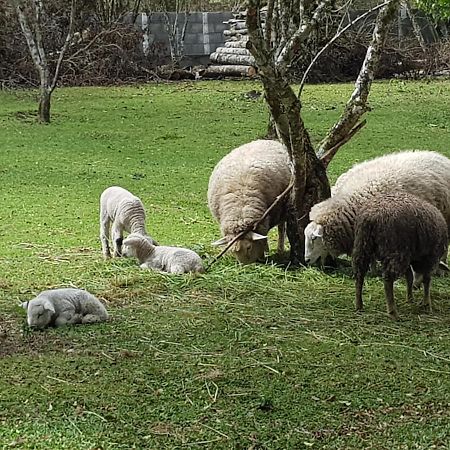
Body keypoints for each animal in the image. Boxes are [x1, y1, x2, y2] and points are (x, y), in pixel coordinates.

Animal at [304, 190, 448, 320]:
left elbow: (410, 276)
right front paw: (426, 303)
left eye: (313, 238)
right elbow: (426, 280)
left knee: (359, 274)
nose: (306, 260)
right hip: (394, 249)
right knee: (387, 279)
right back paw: (393, 312)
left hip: (363, 245)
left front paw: (410, 297)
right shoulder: (430, 257)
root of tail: (370, 217)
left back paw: (359, 305)